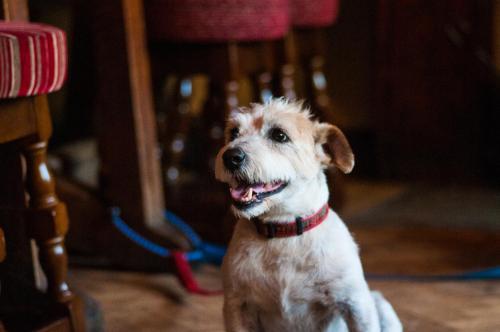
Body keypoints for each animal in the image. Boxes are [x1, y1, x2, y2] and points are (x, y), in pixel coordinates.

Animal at [215, 99, 402, 332]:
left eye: (279, 135)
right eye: (233, 132)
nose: (230, 156)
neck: (284, 233)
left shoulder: (356, 304)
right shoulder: (237, 306)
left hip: (378, 303)